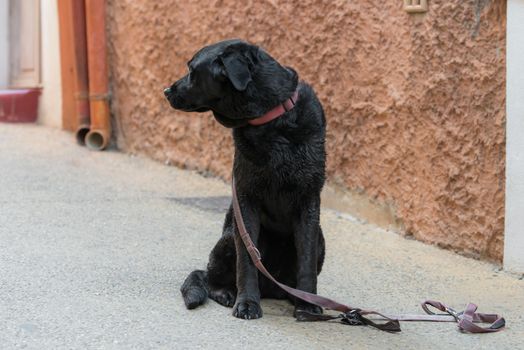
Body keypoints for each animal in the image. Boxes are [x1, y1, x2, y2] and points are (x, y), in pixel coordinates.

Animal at [166, 39, 326, 320]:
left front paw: (308, 305)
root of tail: (271, 288)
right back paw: (226, 293)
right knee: (209, 277)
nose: (165, 91)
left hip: (321, 239)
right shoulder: (246, 199)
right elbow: (247, 261)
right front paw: (248, 303)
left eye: (192, 71)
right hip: (229, 237)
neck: (272, 119)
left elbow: (306, 261)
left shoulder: (308, 202)